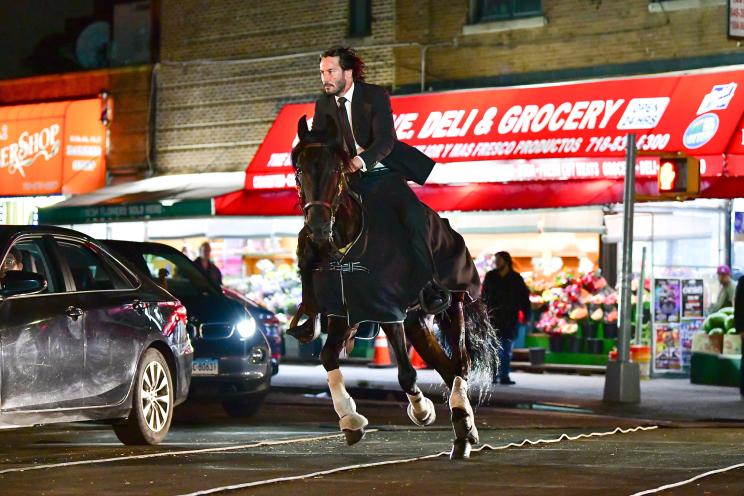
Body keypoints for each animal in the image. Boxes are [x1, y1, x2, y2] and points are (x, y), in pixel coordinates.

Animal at [294, 115, 496, 458]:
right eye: (299, 171)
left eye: (336, 170)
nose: (318, 230)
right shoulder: (344, 312)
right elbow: (328, 357)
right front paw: (350, 419)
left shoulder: (388, 310)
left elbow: (406, 372)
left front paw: (422, 411)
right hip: (415, 320)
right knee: (447, 366)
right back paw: (463, 428)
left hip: (451, 304)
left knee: (461, 364)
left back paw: (462, 425)